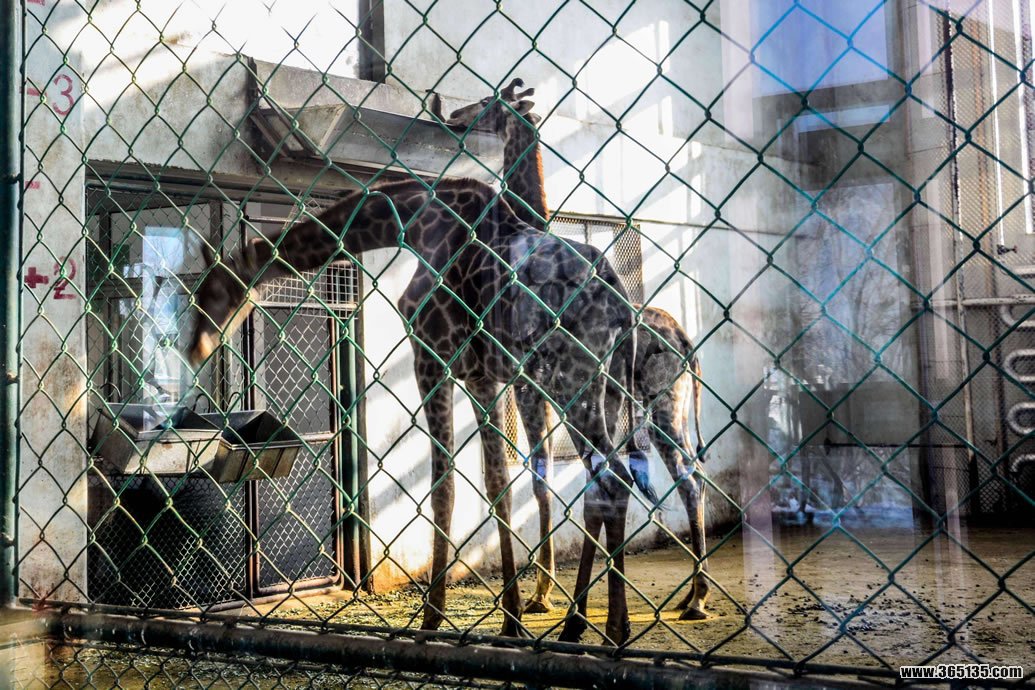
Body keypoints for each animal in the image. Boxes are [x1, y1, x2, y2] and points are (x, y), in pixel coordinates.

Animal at [187, 176, 641, 644]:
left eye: (212, 290)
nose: (195, 348)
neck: (410, 224)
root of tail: (620, 296)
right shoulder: (481, 375)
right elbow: (497, 484)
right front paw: (510, 618)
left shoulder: (433, 356)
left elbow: (445, 488)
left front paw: (434, 618)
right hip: (604, 381)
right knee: (603, 481)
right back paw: (588, 623)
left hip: (568, 376)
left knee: (611, 477)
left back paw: (603, 624)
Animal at [436, 79, 712, 624]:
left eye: (487, 102)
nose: (452, 114)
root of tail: (687, 343)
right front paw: (550, 592)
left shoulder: (524, 385)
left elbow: (538, 477)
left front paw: (540, 593)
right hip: (655, 407)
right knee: (680, 477)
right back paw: (688, 597)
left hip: (645, 403)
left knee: (662, 479)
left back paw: (667, 602)